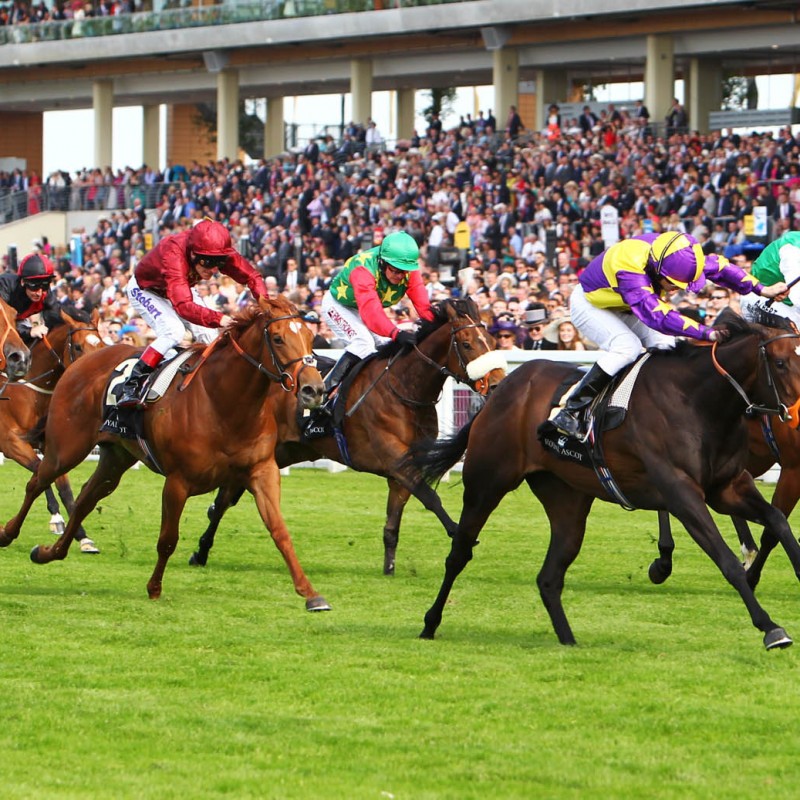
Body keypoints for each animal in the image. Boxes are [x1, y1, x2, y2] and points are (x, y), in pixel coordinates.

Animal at [0, 308, 104, 552]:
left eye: (103, 343)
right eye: (78, 347)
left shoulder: (51, 445)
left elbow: (62, 485)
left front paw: (82, 537)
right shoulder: (10, 443)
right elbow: (41, 473)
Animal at [186, 296, 506, 572]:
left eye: (491, 342)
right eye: (467, 344)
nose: (497, 384)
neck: (404, 388)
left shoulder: (401, 471)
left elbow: (392, 525)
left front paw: (389, 570)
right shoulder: (397, 461)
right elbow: (431, 498)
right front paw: (460, 535)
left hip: (279, 452)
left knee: (227, 497)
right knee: (224, 501)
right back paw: (200, 552)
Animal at [412, 312, 800, 648]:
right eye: (781, 363)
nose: (796, 417)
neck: (698, 402)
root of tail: (501, 388)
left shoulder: (728, 487)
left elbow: (778, 523)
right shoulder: (682, 493)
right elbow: (727, 560)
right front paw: (770, 627)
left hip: (566, 499)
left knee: (549, 576)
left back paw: (568, 639)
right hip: (486, 483)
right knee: (459, 553)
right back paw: (430, 623)